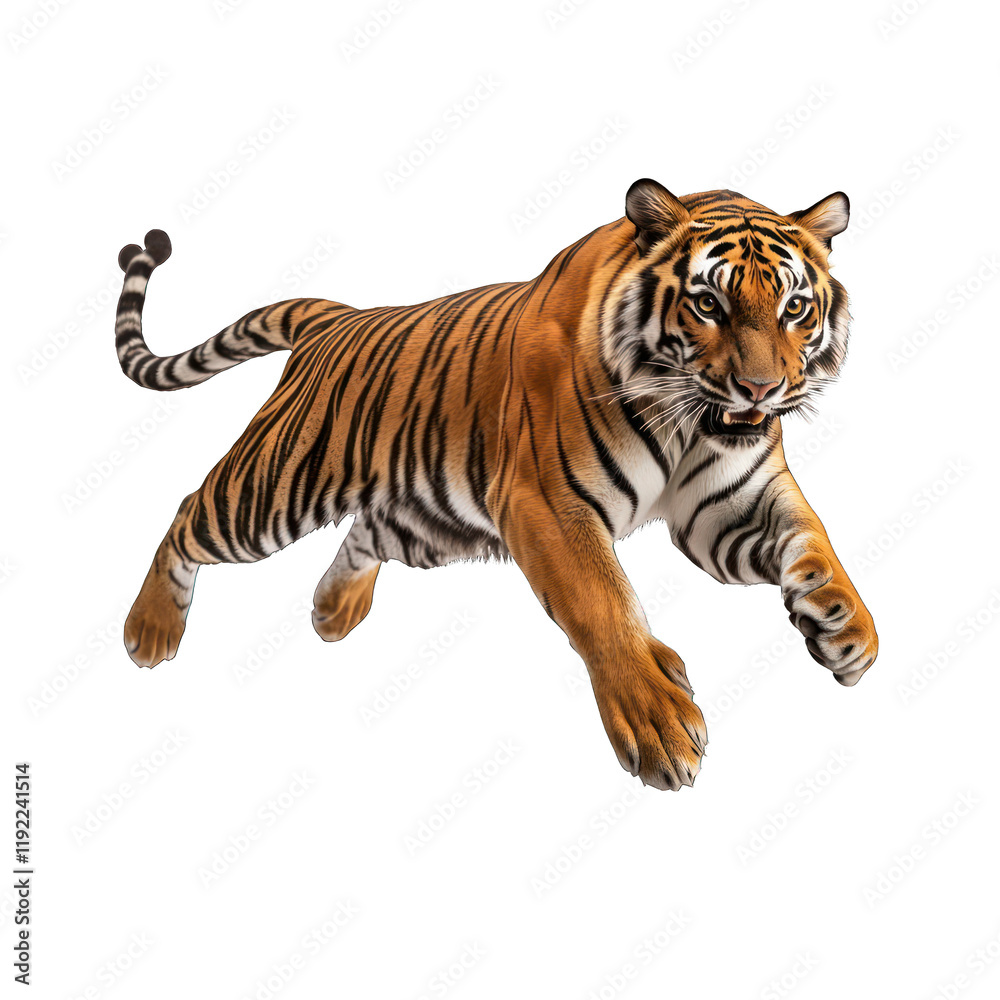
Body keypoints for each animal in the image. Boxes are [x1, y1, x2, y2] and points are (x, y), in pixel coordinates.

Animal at [115, 178, 878, 790]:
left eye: (794, 309)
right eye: (709, 305)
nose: (761, 388)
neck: (689, 423)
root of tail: (339, 316)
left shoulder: (725, 507)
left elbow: (813, 537)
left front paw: (847, 627)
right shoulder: (549, 505)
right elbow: (604, 602)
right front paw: (657, 722)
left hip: (429, 519)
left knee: (365, 531)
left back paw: (334, 610)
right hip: (274, 492)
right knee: (189, 512)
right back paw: (149, 631)